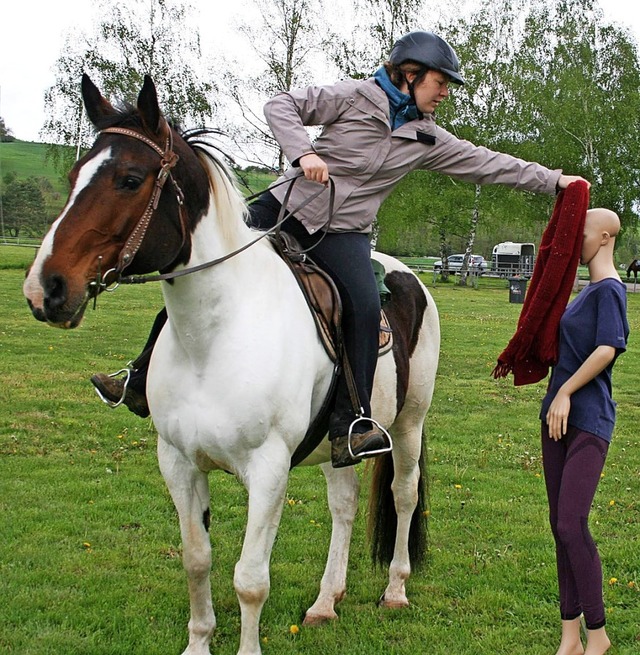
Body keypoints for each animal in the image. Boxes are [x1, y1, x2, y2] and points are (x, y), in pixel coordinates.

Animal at [21, 77, 440, 655]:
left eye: (130, 179)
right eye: (72, 176)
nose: (46, 289)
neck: (215, 337)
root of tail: (408, 275)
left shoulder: (268, 471)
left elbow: (249, 579)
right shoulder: (178, 462)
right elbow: (197, 560)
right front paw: (199, 642)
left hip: (408, 424)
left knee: (402, 494)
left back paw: (395, 590)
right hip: (341, 444)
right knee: (345, 505)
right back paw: (325, 602)